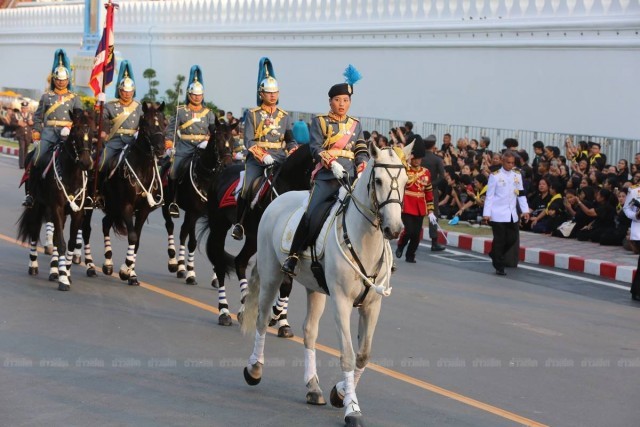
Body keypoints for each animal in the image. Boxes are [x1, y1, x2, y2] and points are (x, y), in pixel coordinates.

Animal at [17, 110, 95, 290]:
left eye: (93, 134)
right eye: (75, 133)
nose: (86, 162)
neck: (71, 173)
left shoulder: (77, 212)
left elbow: (71, 243)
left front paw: (66, 272)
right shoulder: (56, 207)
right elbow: (60, 242)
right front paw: (63, 279)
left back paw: (55, 270)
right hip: (37, 206)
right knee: (34, 231)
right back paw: (34, 266)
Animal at [162, 118, 235, 284]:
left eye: (233, 140)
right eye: (218, 140)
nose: (228, 165)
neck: (207, 178)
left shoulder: (212, 217)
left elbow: (213, 244)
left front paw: (216, 277)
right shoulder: (193, 212)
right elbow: (189, 240)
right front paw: (188, 272)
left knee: (186, 231)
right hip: (168, 205)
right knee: (172, 227)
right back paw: (175, 263)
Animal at [206, 142, 314, 330]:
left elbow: (287, 284)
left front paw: (281, 321)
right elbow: (281, 282)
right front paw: (273, 316)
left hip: (252, 239)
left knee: (239, 261)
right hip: (219, 227)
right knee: (220, 265)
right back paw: (224, 312)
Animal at [239, 145, 410, 427]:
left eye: (407, 182)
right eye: (378, 181)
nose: (394, 229)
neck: (363, 239)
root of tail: (278, 200)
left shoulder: (372, 305)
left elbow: (363, 354)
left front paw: (340, 393)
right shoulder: (341, 301)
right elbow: (348, 354)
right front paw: (352, 409)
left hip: (315, 289)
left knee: (309, 331)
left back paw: (312, 386)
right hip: (272, 272)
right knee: (262, 319)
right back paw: (254, 368)